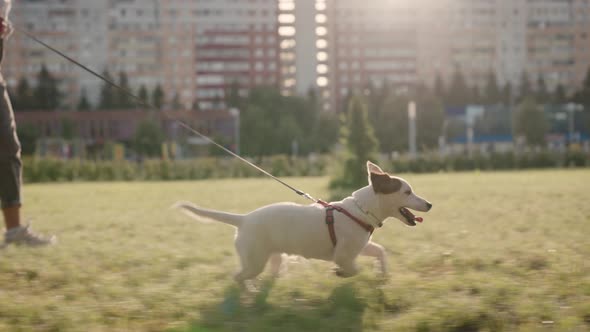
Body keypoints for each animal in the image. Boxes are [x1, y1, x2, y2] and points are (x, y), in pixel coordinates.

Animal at [173, 161, 432, 286]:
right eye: (407, 192)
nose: (429, 204)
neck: (361, 210)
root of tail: (243, 219)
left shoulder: (360, 246)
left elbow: (380, 251)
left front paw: (383, 275)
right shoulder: (344, 254)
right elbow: (353, 269)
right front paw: (341, 273)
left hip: (271, 257)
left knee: (263, 275)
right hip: (254, 260)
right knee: (238, 277)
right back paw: (247, 297)